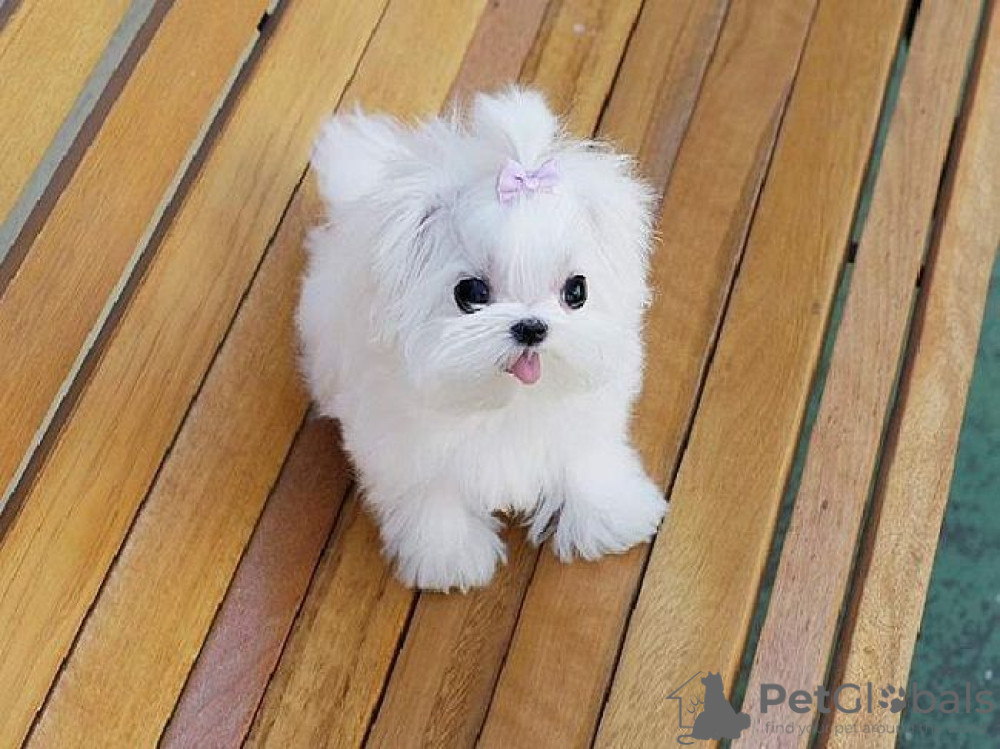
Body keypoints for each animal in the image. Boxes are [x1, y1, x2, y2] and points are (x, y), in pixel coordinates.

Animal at [296, 87, 666, 591]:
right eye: (470, 293)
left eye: (577, 291)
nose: (531, 326)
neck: (510, 402)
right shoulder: (408, 448)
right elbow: (434, 494)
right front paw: (448, 554)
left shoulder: (585, 423)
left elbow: (587, 462)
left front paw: (611, 517)